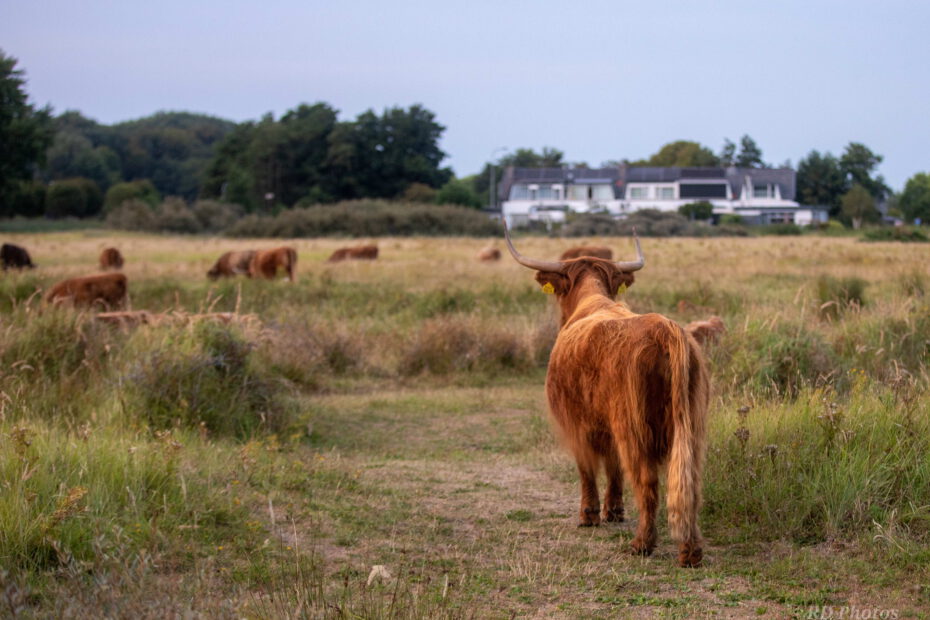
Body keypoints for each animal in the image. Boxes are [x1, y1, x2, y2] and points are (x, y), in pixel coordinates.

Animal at [504, 223, 708, 568]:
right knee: (688, 478)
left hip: (632, 427)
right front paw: (613, 510)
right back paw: (690, 552)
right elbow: (612, 466)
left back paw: (642, 543)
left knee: (645, 479)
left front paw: (589, 514)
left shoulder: (575, 423)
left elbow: (587, 466)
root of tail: (663, 328)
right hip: (689, 425)